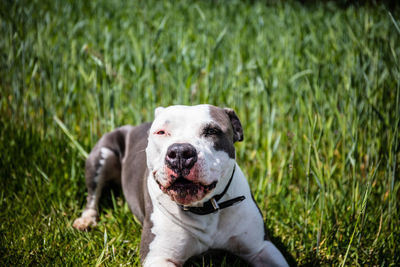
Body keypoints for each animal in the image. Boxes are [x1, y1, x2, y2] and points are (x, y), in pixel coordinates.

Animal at [73, 105, 290, 267]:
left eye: (212, 131)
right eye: (161, 132)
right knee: (93, 194)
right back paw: (86, 220)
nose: (179, 152)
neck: (204, 209)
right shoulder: (158, 257)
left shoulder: (261, 248)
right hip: (102, 153)